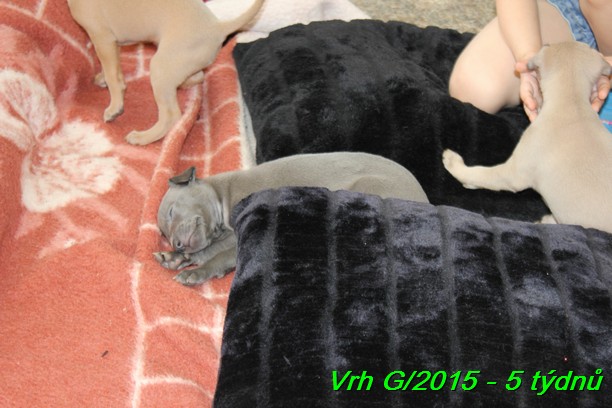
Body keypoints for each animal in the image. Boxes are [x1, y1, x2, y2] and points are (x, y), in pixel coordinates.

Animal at [67, 0, 263, 145]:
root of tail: (218, 27)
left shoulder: (103, 38)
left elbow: (112, 75)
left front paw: (114, 107)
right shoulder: (112, 44)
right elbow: (114, 68)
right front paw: (102, 79)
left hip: (160, 67)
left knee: (171, 116)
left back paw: (142, 137)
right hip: (177, 64)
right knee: (197, 76)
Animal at [154, 152, 429, 285]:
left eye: (171, 212)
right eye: (164, 234)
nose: (177, 244)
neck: (224, 196)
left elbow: (219, 254)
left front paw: (195, 271)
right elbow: (211, 248)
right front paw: (175, 258)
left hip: (363, 188)